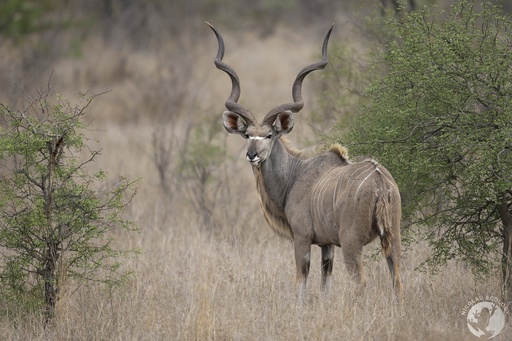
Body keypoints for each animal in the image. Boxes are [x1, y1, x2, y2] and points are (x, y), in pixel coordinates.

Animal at [207, 23, 404, 300]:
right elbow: (325, 282)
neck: (295, 175)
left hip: (351, 242)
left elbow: (301, 281)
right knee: (397, 277)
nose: (252, 155)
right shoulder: (327, 244)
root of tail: (380, 182)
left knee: (360, 281)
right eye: (247, 135)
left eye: (269, 135)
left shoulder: (301, 238)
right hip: (393, 236)